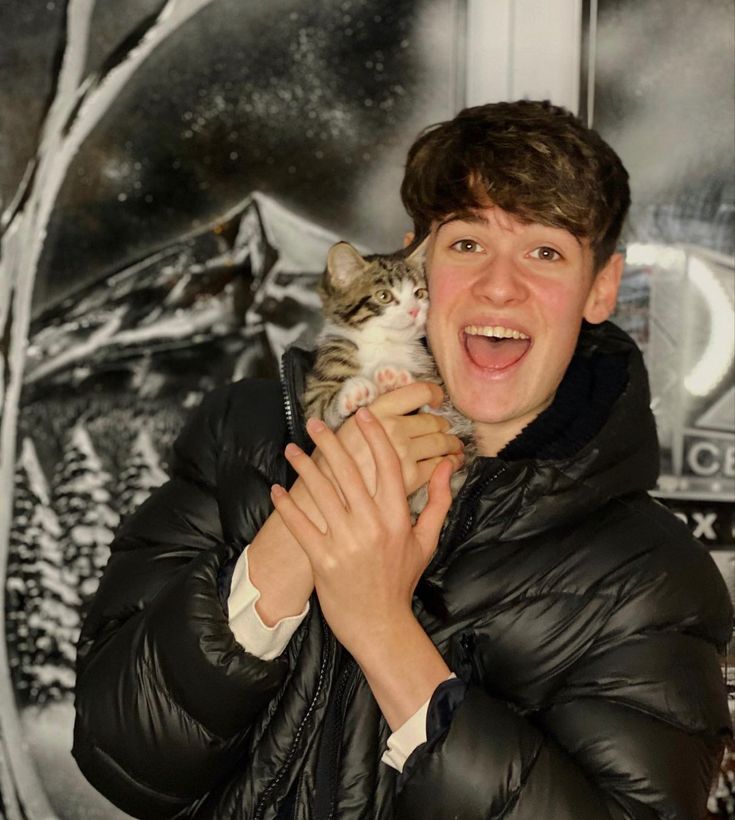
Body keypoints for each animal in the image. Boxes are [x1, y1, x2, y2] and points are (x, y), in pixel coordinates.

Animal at [302, 240, 474, 516]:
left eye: (420, 293)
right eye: (384, 296)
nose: (414, 311)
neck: (382, 343)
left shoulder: (434, 380)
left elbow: (442, 408)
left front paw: (392, 380)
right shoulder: (321, 381)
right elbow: (320, 411)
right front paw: (354, 392)